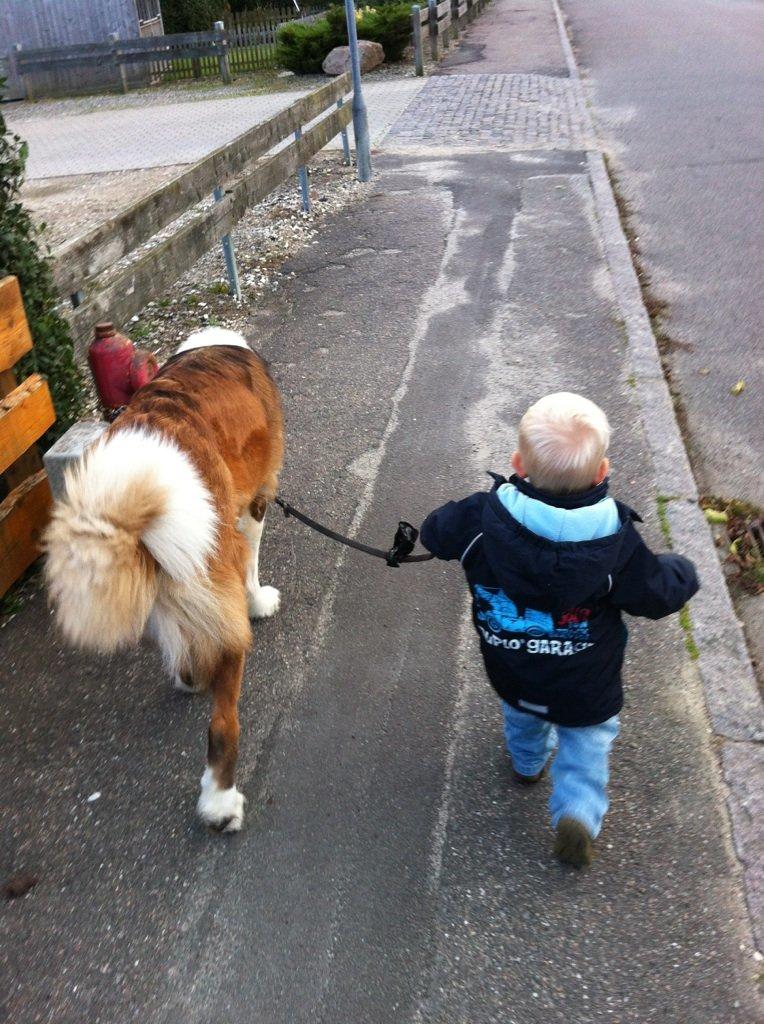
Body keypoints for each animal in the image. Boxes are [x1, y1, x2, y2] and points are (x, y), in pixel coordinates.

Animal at [44, 327, 282, 831]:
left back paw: (190, 677)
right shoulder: (257, 500)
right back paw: (220, 802)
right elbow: (253, 565)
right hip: (216, 567)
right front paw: (260, 602)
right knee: (223, 718)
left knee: (184, 637)